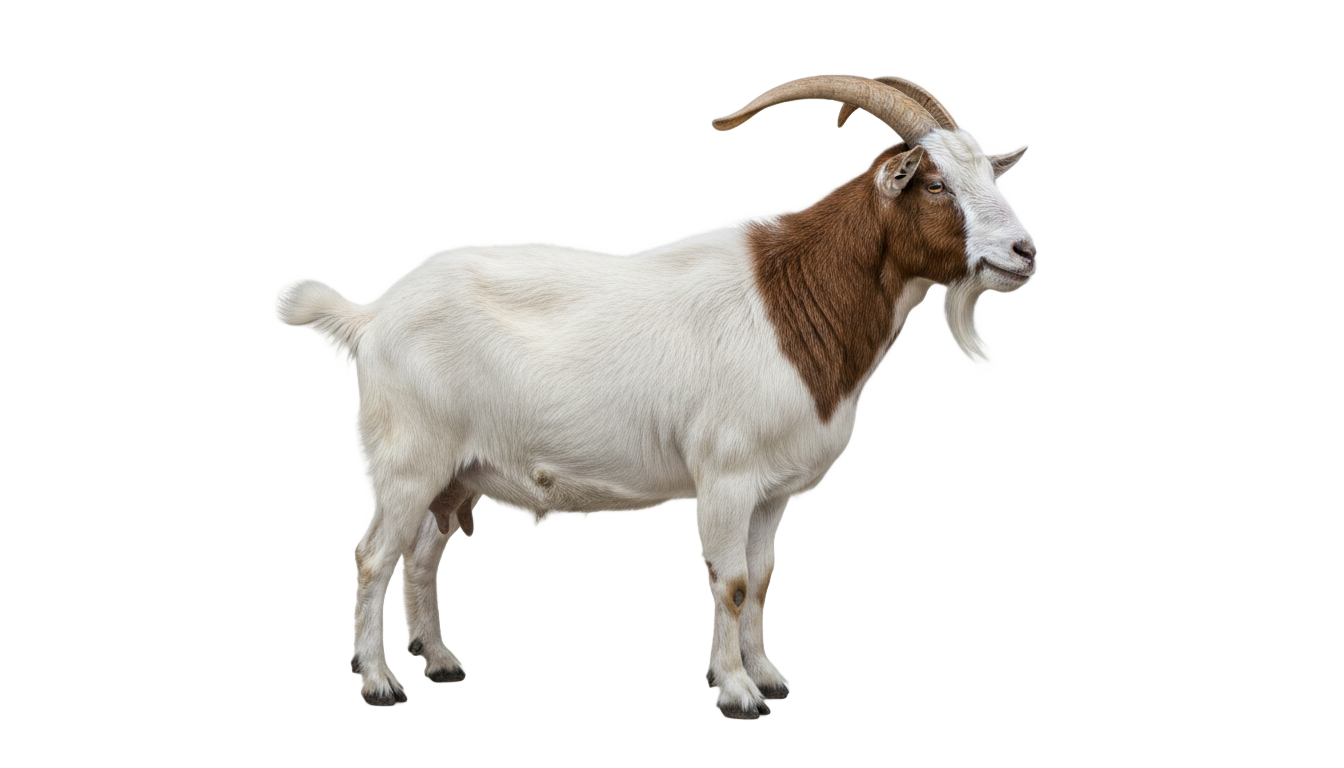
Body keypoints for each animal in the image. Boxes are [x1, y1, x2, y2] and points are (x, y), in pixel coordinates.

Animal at [278, 74, 1034, 718]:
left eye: (989, 174)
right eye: (934, 184)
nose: (1025, 252)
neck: (789, 300)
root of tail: (372, 318)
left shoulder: (774, 491)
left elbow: (762, 580)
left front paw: (768, 676)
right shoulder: (727, 476)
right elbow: (729, 582)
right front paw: (736, 694)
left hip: (455, 473)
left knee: (422, 557)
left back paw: (438, 662)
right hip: (410, 460)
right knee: (374, 557)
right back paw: (378, 682)